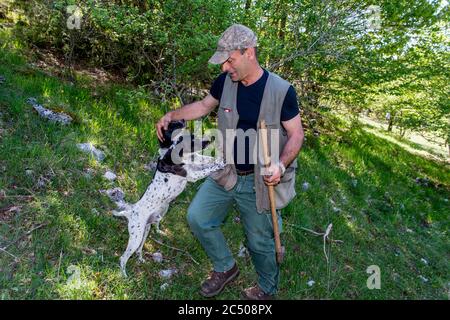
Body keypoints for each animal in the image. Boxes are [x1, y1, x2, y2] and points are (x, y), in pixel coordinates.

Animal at [112, 120, 225, 278]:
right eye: (193, 140)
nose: (212, 138)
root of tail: (130, 212)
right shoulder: (193, 175)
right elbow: (209, 168)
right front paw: (221, 163)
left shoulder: (195, 165)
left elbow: (208, 162)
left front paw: (219, 159)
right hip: (136, 237)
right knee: (122, 258)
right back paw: (124, 275)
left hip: (145, 231)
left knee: (139, 250)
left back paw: (141, 259)